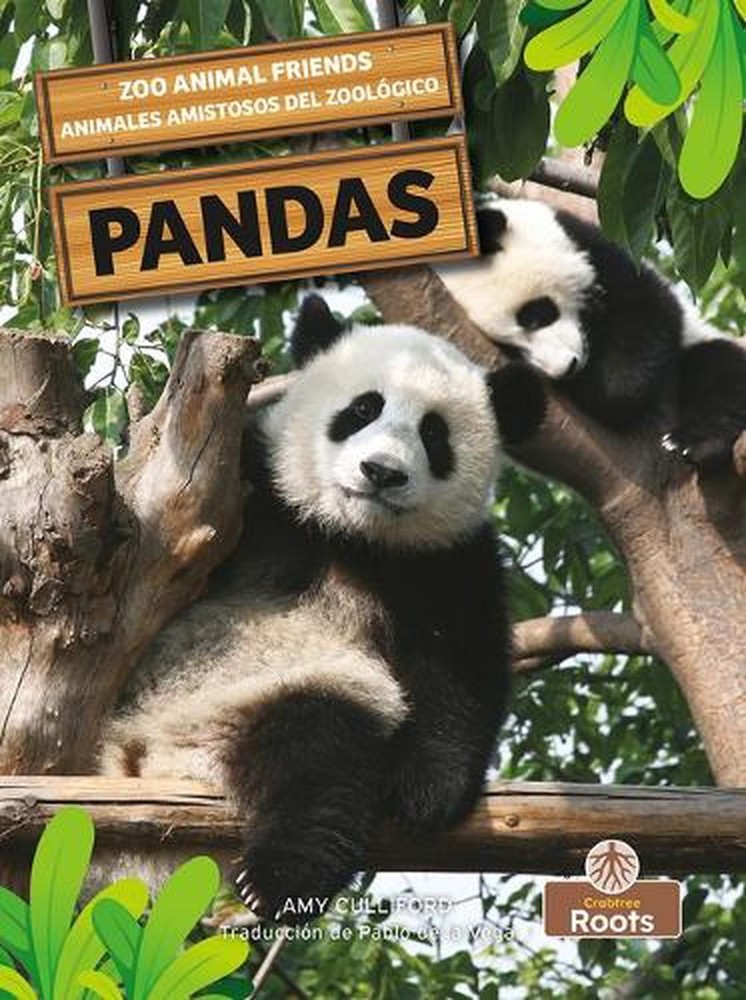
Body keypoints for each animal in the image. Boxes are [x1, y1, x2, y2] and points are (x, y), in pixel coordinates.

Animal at [99, 295, 545, 924]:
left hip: (268, 695)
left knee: (320, 757)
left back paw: (282, 877)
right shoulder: (254, 486)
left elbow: (460, 667)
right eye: (362, 409)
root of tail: (145, 759)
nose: (381, 472)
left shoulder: (446, 562)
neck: (345, 534)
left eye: (434, 434)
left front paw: (426, 791)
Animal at [436, 198, 746, 469]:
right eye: (511, 348)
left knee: (720, 373)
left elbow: (647, 316)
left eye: (535, 316)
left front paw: (605, 389)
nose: (566, 368)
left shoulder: (601, 255)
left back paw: (694, 443)